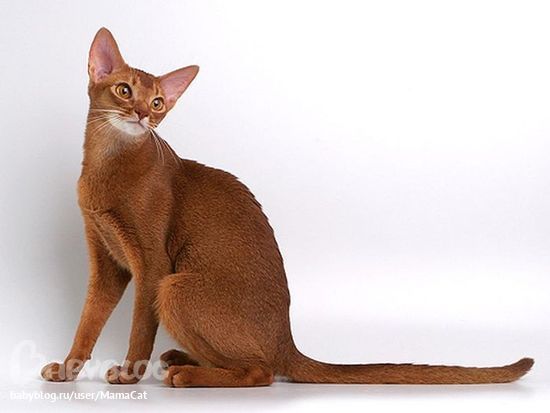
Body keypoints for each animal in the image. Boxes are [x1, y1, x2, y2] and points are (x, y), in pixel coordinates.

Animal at [41, 28, 533, 387]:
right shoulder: (107, 263)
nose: (144, 114)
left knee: (260, 371)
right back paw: (183, 358)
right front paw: (67, 369)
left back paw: (187, 374)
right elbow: (87, 322)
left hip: (175, 286)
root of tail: (287, 342)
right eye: (124, 90)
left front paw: (129, 374)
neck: (108, 165)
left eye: (158, 102)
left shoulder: (152, 265)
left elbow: (139, 329)